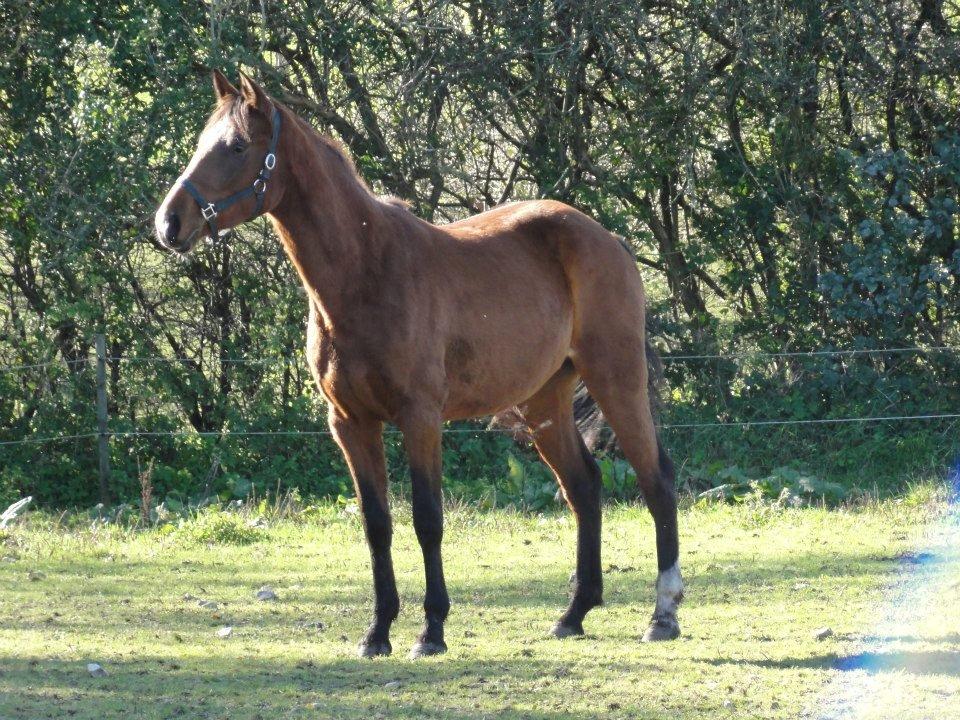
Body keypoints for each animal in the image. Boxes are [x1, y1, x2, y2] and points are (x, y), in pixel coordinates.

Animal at [154, 71, 684, 660]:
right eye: (203, 142)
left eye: (236, 147)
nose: (169, 223)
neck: (366, 272)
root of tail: (608, 238)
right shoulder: (350, 424)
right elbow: (376, 524)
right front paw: (377, 631)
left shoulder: (420, 419)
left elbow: (427, 519)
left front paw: (431, 630)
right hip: (543, 401)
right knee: (584, 487)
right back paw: (574, 613)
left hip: (617, 379)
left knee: (657, 480)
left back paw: (662, 615)